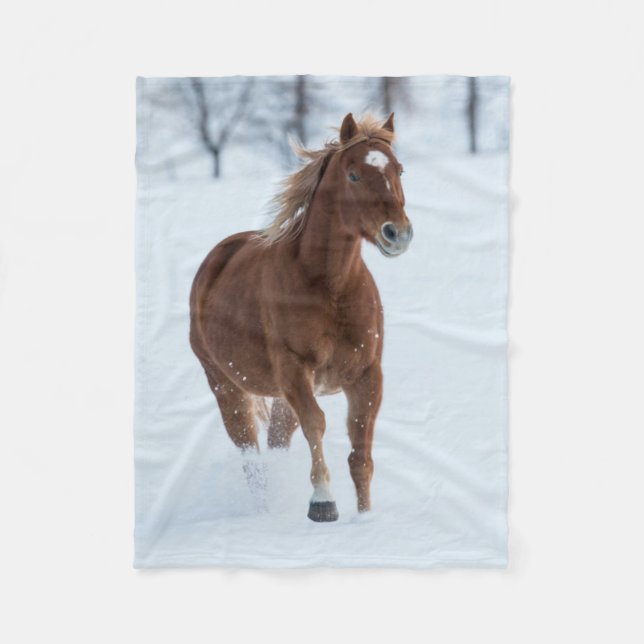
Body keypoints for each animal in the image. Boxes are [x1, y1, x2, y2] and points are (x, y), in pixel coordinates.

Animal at [189, 112, 413, 522]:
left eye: (399, 170)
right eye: (353, 175)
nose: (398, 234)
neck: (329, 286)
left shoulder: (367, 374)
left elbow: (361, 453)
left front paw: (365, 517)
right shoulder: (294, 369)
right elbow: (317, 424)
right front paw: (323, 503)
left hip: (279, 397)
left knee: (276, 441)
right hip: (227, 387)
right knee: (251, 456)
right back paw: (263, 512)